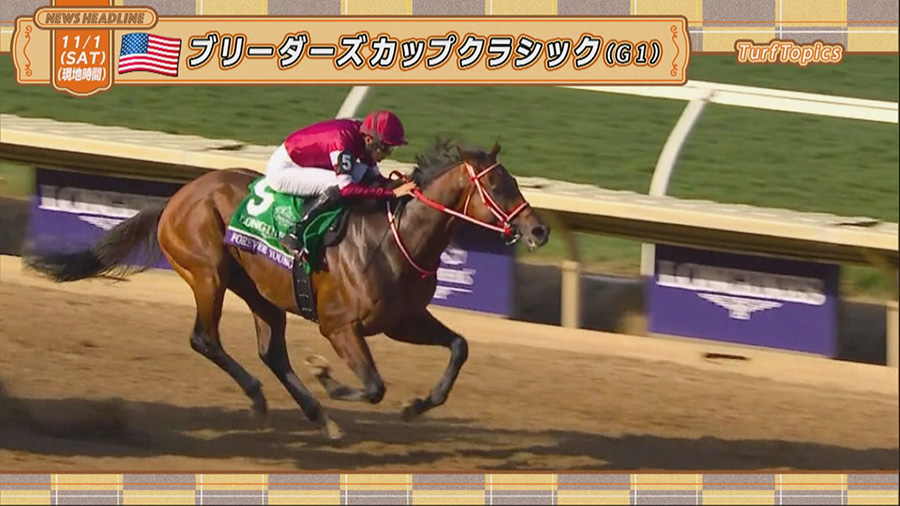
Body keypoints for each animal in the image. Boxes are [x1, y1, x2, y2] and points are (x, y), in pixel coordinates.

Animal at [25, 139, 550, 441]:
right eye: (497, 188)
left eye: (514, 182)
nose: (539, 230)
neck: (395, 238)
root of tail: (175, 198)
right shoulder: (339, 327)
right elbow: (372, 386)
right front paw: (328, 377)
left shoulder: (402, 321)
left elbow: (459, 347)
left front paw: (417, 405)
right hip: (208, 274)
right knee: (205, 339)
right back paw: (266, 401)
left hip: (261, 292)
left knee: (271, 352)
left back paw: (320, 418)